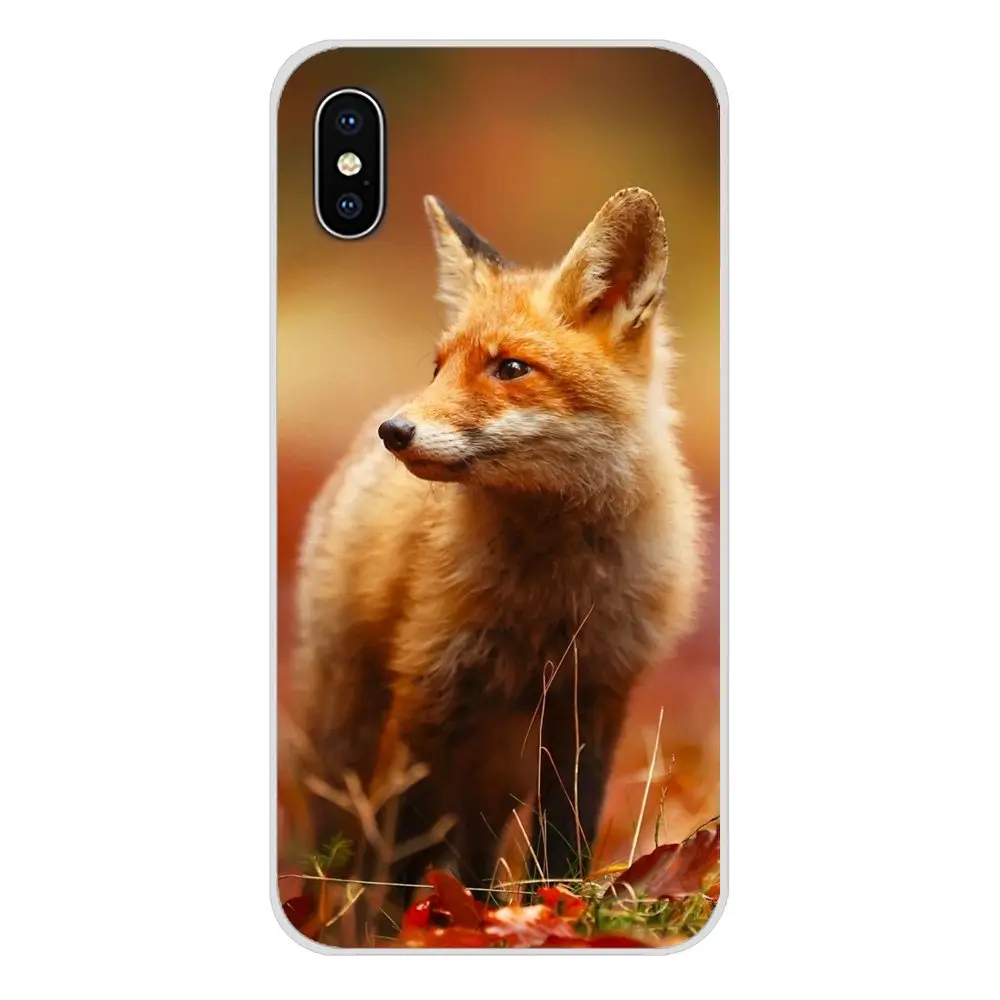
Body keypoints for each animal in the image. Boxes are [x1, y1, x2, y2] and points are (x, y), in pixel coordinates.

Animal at [286, 187, 704, 914]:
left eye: (511, 368)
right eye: (439, 367)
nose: (395, 431)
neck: (549, 594)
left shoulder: (593, 692)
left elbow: (566, 833)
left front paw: (555, 907)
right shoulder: (429, 687)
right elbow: (409, 841)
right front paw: (403, 925)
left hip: (499, 764)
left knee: (477, 849)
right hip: (358, 730)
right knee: (355, 836)